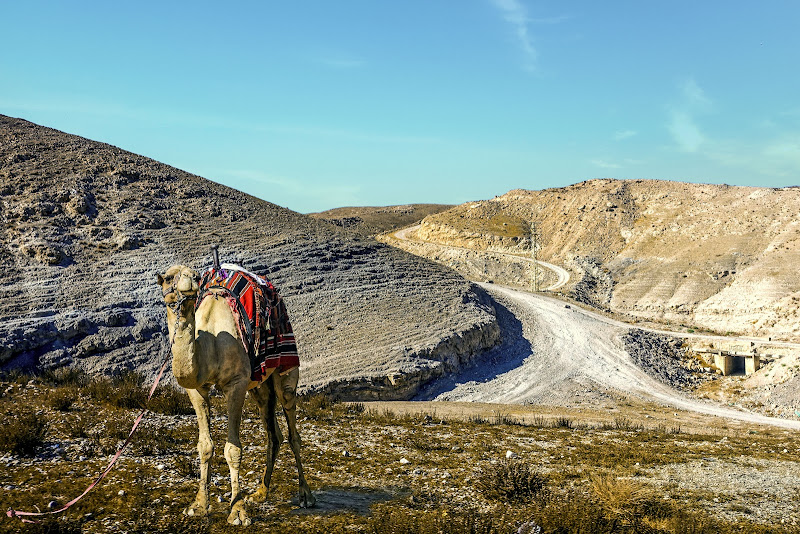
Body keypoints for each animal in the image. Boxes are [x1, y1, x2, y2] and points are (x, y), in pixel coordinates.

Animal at [156, 264, 316, 528]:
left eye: (195, 275)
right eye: (168, 277)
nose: (190, 281)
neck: (210, 341)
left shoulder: (236, 384)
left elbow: (233, 450)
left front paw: (238, 511)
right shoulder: (196, 388)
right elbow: (204, 446)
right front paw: (198, 505)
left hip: (285, 370)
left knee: (293, 430)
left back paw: (306, 495)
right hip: (259, 386)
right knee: (273, 433)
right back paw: (261, 492)